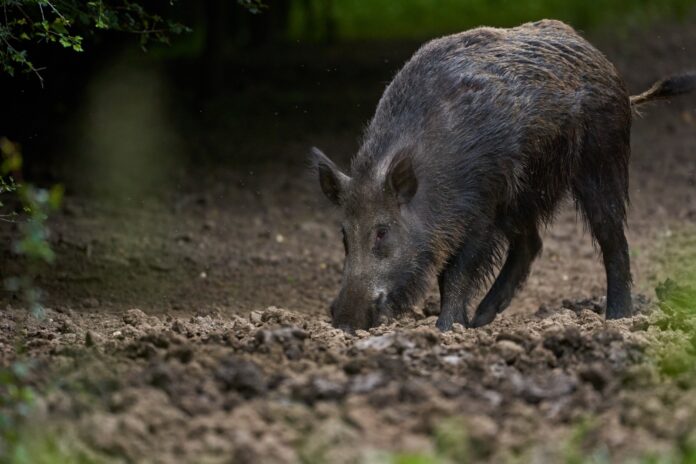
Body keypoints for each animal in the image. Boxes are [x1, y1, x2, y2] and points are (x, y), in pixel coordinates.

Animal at [312, 19, 696, 332]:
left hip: (600, 158)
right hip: (526, 192)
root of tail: (611, 73)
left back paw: (617, 318)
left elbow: (457, 272)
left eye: (381, 231)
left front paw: (447, 328)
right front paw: (463, 324)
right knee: (531, 243)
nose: (345, 321)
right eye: (344, 234)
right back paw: (484, 318)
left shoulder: (481, 207)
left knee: (612, 236)